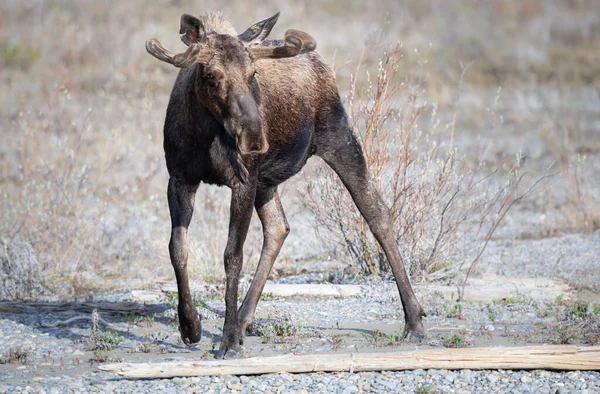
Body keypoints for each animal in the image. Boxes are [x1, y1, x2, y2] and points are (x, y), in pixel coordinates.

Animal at [146, 11, 424, 358]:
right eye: (210, 74)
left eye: (252, 73)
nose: (253, 135)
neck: (203, 132)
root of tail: (317, 58)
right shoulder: (180, 178)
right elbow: (177, 249)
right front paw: (190, 326)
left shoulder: (243, 181)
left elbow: (232, 256)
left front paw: (227, 341)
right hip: (267, 182)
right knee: (279, 227)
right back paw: (243, 320)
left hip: (340, 138)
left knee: (378, 214)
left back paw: (414, 321)